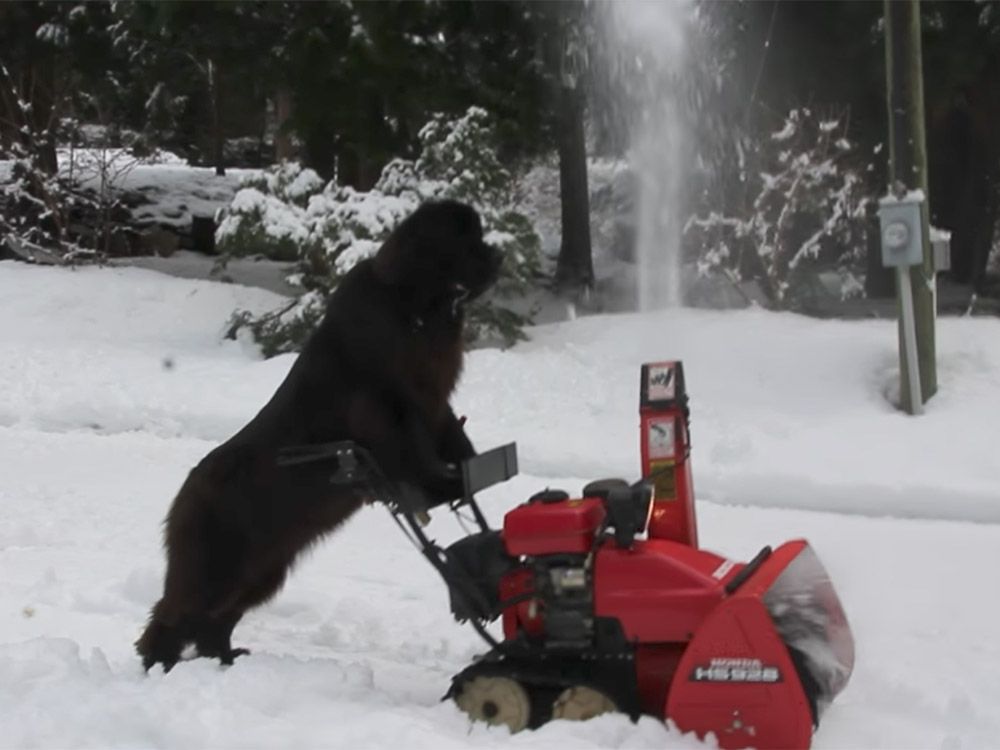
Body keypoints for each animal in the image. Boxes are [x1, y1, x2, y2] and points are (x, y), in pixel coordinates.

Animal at [135, 201, 500, 676]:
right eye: (464, 239)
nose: (498, 257)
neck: (419, 306)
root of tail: (183, 493)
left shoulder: (435, 401)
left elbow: (451, 436)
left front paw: (463, 469)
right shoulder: (391, 404)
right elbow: (412, 448)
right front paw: (441, 480)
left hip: (263, 571)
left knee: (213, 619)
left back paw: (227, 660)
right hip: (218, 566)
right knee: (174, 613)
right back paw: (157, 665)